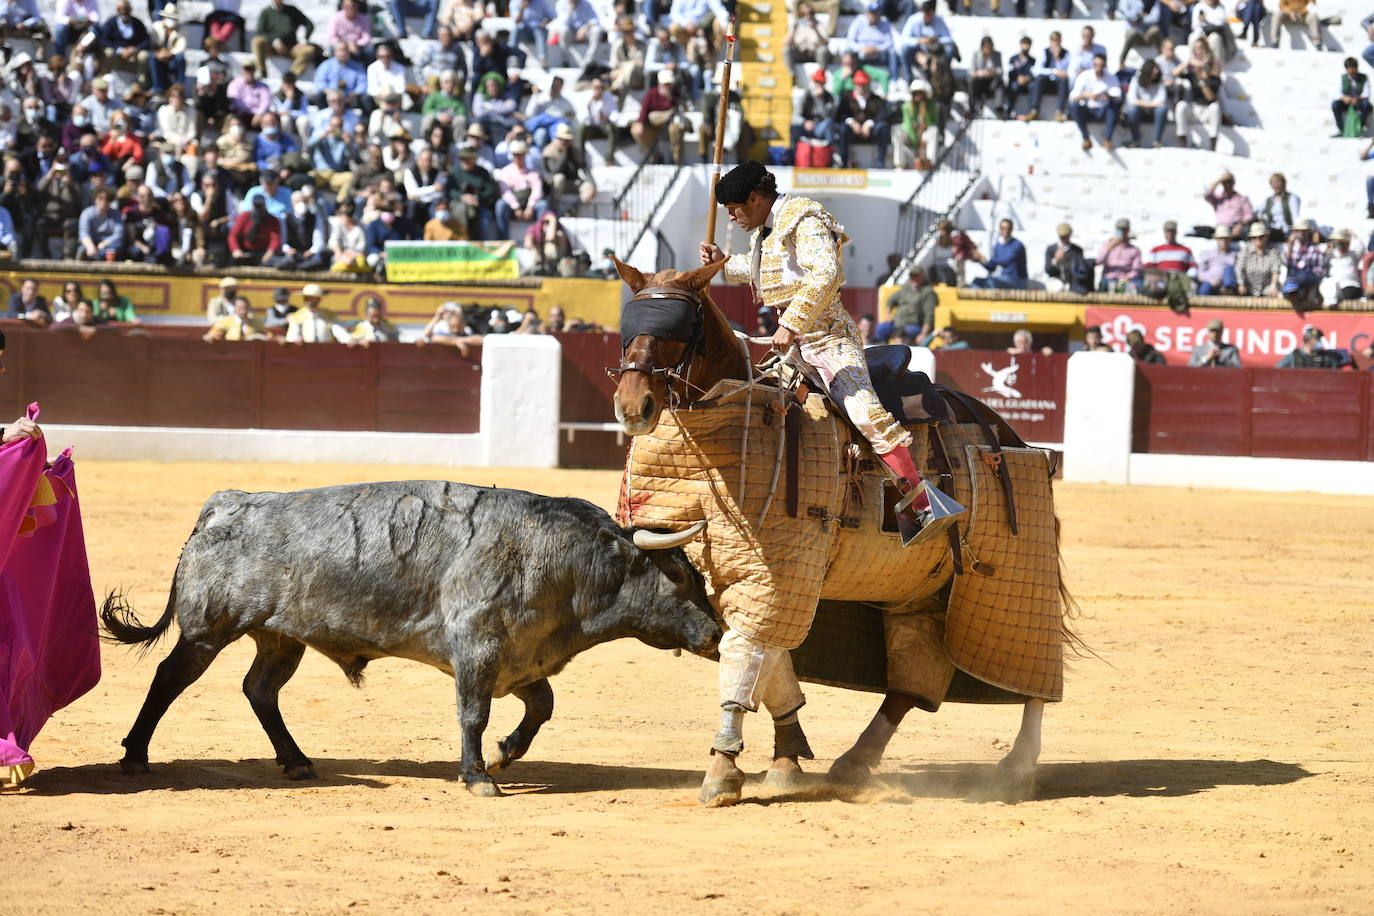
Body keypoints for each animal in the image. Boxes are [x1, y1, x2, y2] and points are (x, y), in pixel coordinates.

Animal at [101, 480, 725, 796]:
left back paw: (297, 762)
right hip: (210, 630)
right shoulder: (477, 647)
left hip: (281, 636)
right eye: (679, 575)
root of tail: (227, 503)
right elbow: (473, 713)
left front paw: (505, 754)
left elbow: (542, 705)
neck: (567, 563)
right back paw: (135, 755)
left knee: (260, 690)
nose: (718, 634)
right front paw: (478, 777)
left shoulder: (519, 658)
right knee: (170, 678)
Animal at [610, 258, 1071, 802]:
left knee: (1033, 668)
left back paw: (1017, 767)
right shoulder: (743, 576)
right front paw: (787, 758)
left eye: (679, 330)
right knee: (915, 671)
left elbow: (747, 655)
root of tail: (1010, 432)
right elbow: (774, 664)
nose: (632, 407)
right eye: (628, 330)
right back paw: (856, 761)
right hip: (918, 588)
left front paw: (723, 770)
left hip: (1021, 564)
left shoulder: (775, 575)